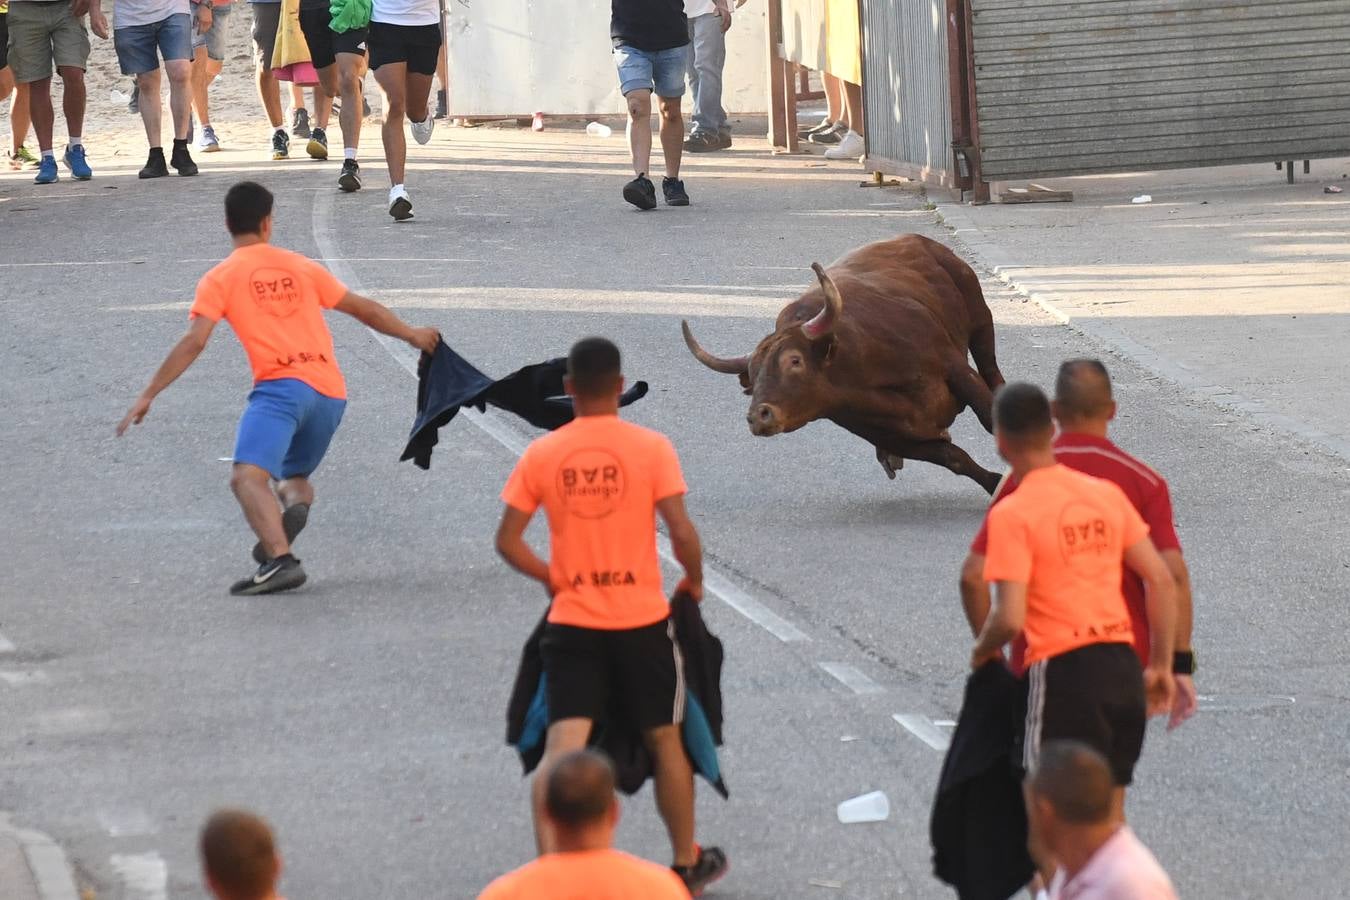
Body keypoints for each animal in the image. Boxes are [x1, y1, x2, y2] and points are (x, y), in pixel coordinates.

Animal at [685, 234, 1004, 493]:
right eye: (752, 375)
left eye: (795, 360)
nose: (759, 416)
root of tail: (917, 240)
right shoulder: (891, 435)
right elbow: (955, 458)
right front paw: (996, 483)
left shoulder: (956, 369)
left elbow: (990, 418)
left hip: (981, 320)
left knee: (991, 371)